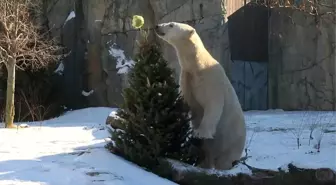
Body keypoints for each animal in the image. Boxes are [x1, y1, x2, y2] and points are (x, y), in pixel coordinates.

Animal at [155, 21, 247, 169]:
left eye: (171, 25)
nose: (157, 26)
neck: (199, 65)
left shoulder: (212, 80)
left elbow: (213, 106)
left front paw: (200, 133)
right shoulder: (187, 77)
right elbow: (186, 102)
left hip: (232, 143)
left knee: (224, 160)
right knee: (207, 156)